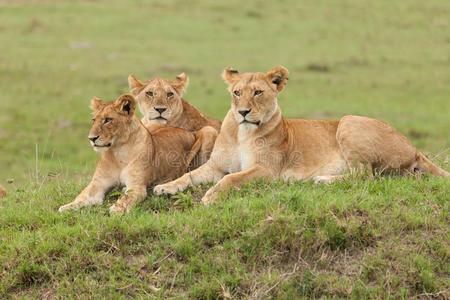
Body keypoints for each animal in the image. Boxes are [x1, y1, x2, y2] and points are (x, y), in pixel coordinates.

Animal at [57, 94, 200, 213]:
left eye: (108, 120)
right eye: (94, 120)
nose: (91, 138)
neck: (118, 152)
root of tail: (186, 131)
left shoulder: (137, 187)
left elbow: (126, 198)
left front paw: (117, 208)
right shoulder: (98, 184)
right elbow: (83, 196)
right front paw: (67, 207)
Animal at [154, 66, 446, 205]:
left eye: (258, 92)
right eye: (236, 93)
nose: (243, 112)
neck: (242, 132)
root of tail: (413, 147)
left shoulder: (267, 171)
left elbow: (232, 179)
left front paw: (211, 196)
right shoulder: (216, 165)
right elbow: (190, 176)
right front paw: (165, 187)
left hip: (349, 122)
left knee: (366, 176)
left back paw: (322, 180)